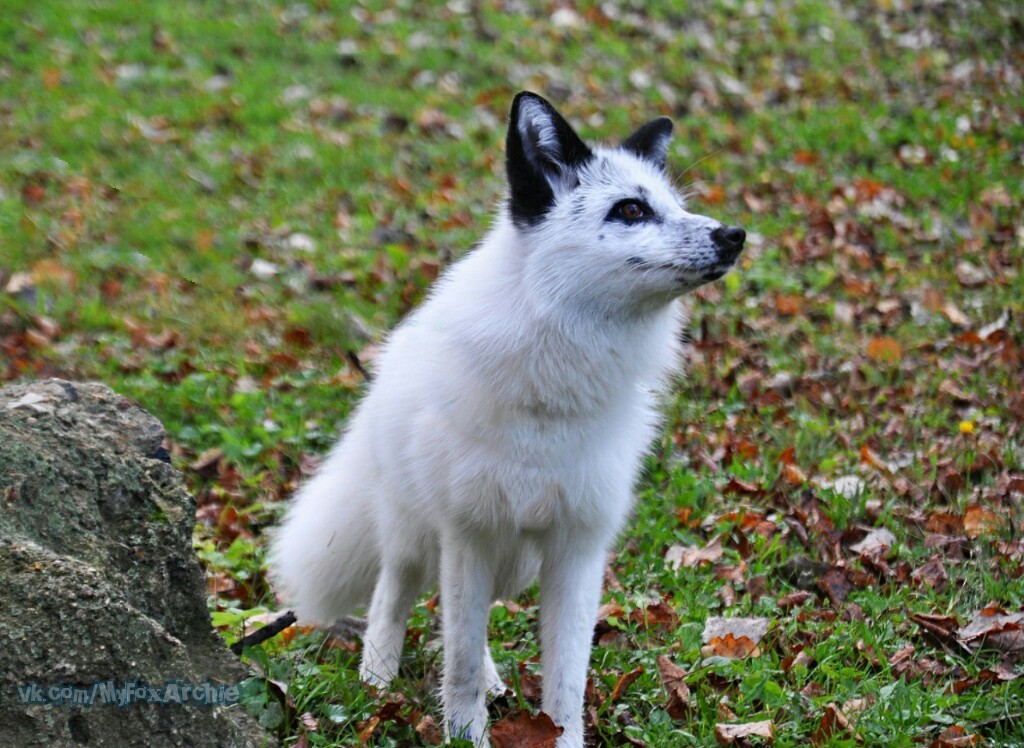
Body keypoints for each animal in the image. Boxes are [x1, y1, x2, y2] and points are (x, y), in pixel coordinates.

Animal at [268, 90, 745, 741]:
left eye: (676, 206)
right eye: (630, 210)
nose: (735, 235)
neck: (554, 392)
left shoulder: (577, 548)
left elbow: (564, 679)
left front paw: (560, 737)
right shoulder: (469, 532)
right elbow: (461, 660)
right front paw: (466, 736)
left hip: (506, 561)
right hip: (418, 534)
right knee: (395, 596)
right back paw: (377, 680)